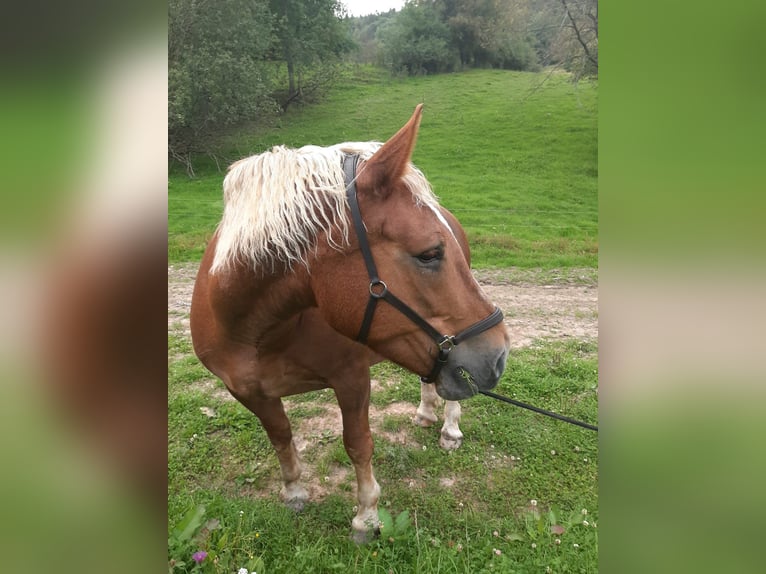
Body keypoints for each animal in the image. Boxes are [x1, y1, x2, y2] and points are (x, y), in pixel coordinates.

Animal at [190, 105, 511, 542]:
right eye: (429, 253)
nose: (498, 356)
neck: (257, 332)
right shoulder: (249, 392)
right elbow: (281, 435)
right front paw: (294, 491)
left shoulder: (352, 378)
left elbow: (358, 444)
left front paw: (367, 517)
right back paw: (426, 413)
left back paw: (449, 429)